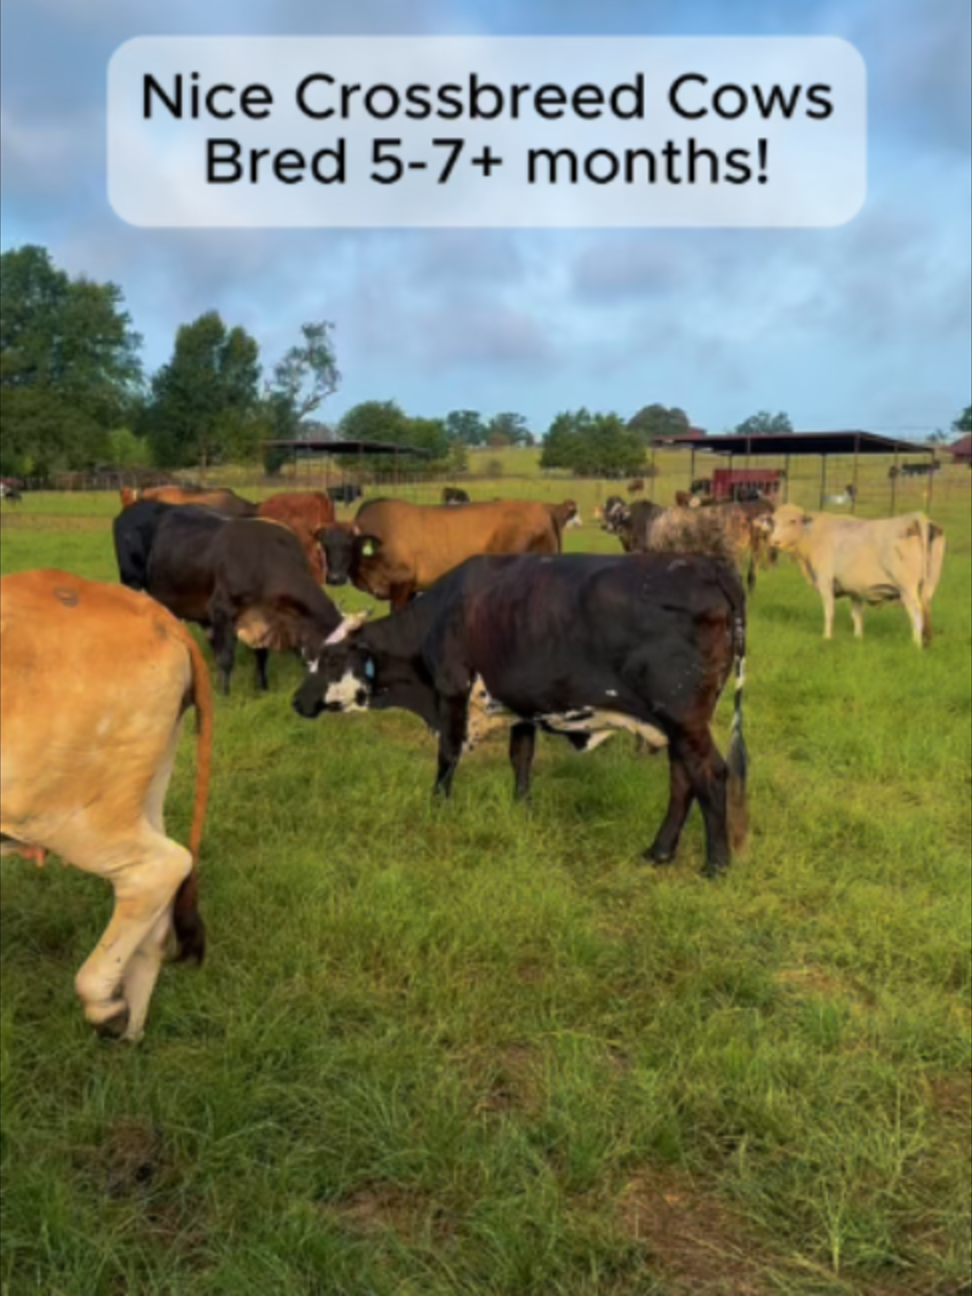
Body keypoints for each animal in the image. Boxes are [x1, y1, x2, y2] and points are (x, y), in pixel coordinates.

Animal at [0, 570, 211, 1041]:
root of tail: (158, 615)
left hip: (55, 812)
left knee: (159, 868)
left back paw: (101, 1001)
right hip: (138, 794)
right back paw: (129, 1023)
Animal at [113, 501, 343, 693]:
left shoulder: (261, 619)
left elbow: (261, 654)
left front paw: (262, 687)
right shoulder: (221, 609)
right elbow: (226, 658)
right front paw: (224, 694)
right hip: (132, 583)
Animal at [292, 550, 749, 878]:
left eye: (330, 658)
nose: (296, 701)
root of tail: (709, 567)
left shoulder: (452, 691)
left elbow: (447, 757)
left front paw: (437, 806)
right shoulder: (521, 706)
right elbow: (521, 758)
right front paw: (522, 807)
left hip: (682, 718)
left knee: (710, 775)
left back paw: (716, 865)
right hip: (677, 725)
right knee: (683, 780)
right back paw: (659, 852)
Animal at [319, 497, 564, 610]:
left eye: (349, 544)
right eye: (325, 546)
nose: (335, 578)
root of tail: (544, 509)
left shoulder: (402, 583)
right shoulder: (411, 589)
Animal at [760, 503, 946, 646]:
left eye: (793, 521)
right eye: (774, 522)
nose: (774, 541)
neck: (813, 534)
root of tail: (917, 517)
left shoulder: (825, 581)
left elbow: (829, 612)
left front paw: (827, 637)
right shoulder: (855, 589)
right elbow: (857, 614)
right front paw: (858, 637)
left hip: (907, 588)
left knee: (916, 613)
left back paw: (916, 644)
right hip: (929, 585)